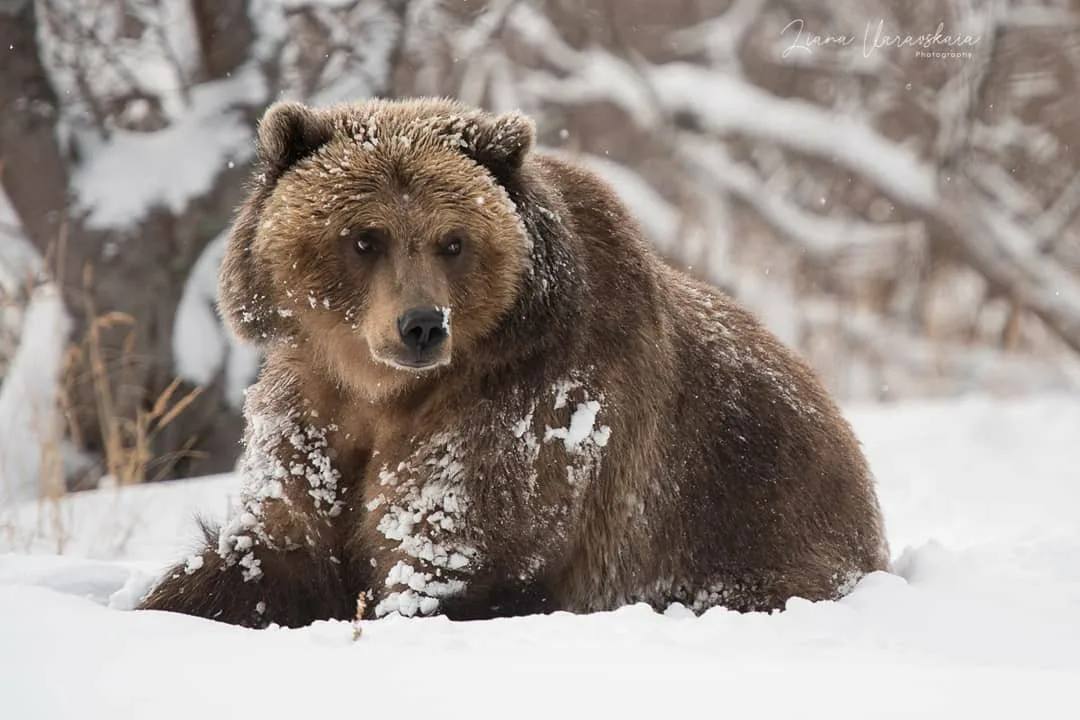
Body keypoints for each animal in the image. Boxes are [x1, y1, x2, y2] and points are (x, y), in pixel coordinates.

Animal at [141, 98, 885, 626]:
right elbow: (271, 550)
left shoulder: (524, 413)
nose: (421, 325)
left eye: (452, 241)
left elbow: (451, 557)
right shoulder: (313, 409)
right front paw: (174, 604)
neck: (384, 392)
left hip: (756, 522)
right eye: (364, 237)